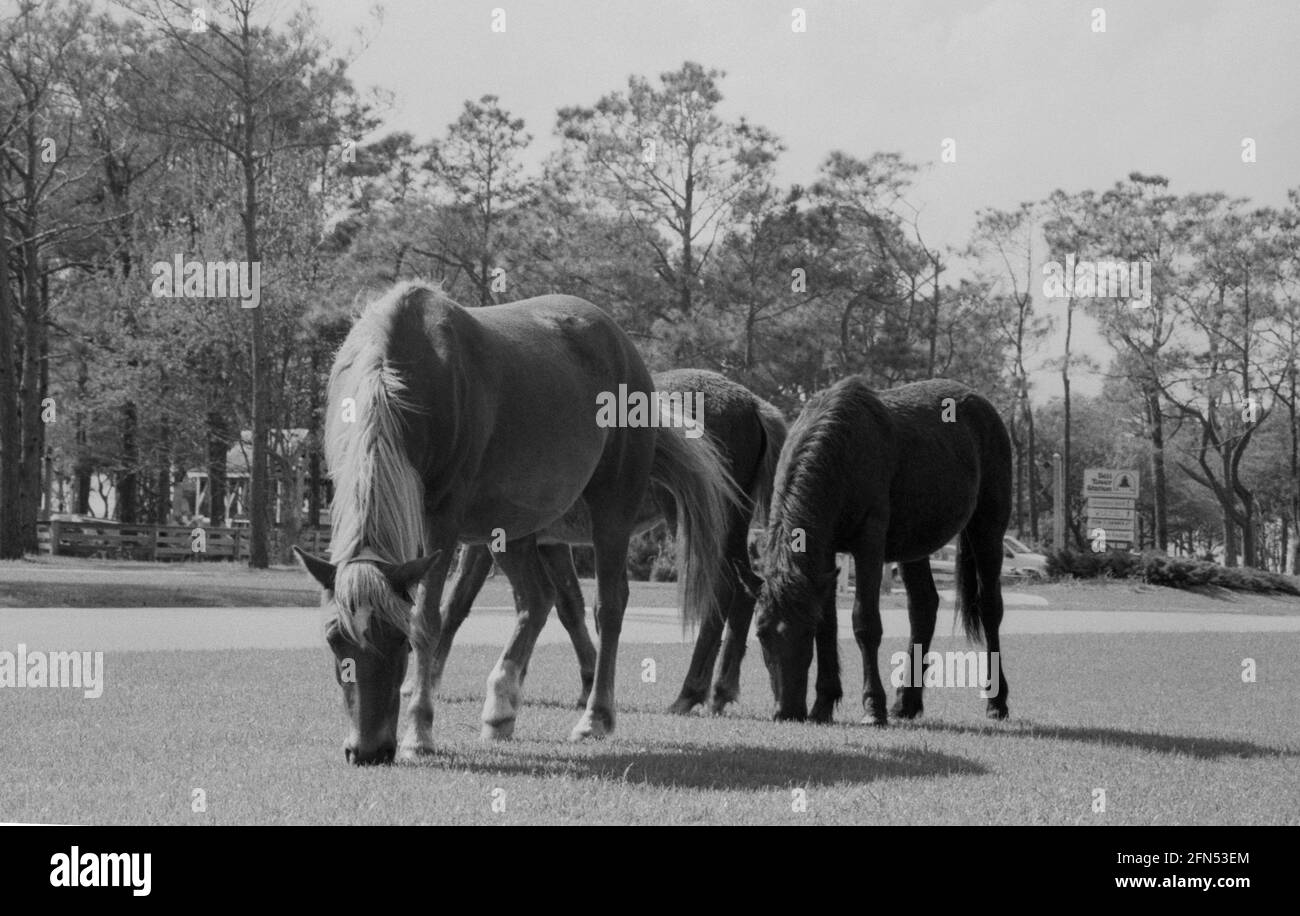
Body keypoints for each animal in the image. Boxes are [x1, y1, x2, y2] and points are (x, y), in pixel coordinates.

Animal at [297, 285, 738, 763]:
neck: (399, 372)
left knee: (609, 605)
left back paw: (595, 717)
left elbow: (431, 618)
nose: (368, 750)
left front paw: (419, 731)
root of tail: (622, 344)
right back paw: (501, 707)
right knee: (537, 599)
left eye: (400, 638)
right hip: (512, 530)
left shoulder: (441, 523)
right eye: (334, 638)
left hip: (611, 512)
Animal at [431, 368, 785, 717]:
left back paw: (689, 692)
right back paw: (720, 690)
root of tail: (751, 404)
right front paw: (586, 680)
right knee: (746, 587)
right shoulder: (549, 544)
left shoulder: (491, 541)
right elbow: (569, 606)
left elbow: (456, 603)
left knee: (720, 589)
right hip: (733, 526)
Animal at [754, 374, 1013, 727]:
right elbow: (828, 625)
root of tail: (982, 405)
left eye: (802, 633)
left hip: (987, 531)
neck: (842, 448)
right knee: (923, 607)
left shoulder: (869, 544)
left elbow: (864, 622)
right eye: (761, 634)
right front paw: (823, 703)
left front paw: (872, 706)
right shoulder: (825, 552)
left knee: (989, 608)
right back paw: (907, 701)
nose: (786, 711)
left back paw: (997, 701)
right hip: (914, 546)